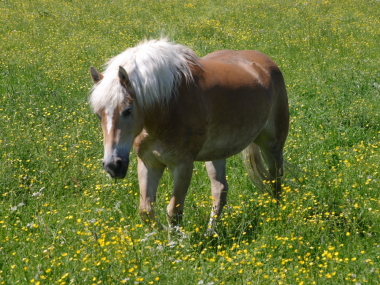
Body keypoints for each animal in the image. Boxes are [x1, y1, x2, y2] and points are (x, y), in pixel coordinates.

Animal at [90, 37, 288, 230]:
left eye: (128, 110)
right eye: (98, 114)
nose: (113, 166)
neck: (166, 108)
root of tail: (264, 63)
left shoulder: (182, 165)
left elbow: (174, 212)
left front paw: (175, 238)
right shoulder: (149, 163)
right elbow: (146, 211)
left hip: (272, 144)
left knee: (275, 178)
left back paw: (276, 214)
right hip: (216, 153)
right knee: (220, 189)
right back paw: (211, 233)